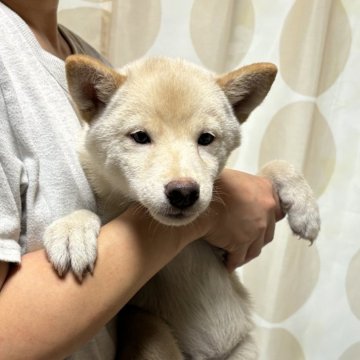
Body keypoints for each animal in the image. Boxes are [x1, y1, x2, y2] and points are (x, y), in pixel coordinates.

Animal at [43, 56, 320, 360]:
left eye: (206, 139)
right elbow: (87, 212)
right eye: (140, 137)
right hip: (148, 324)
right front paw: (72, 230)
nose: (184, 192)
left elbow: (276, 165)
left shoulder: (227, 253)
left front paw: (305, 206)